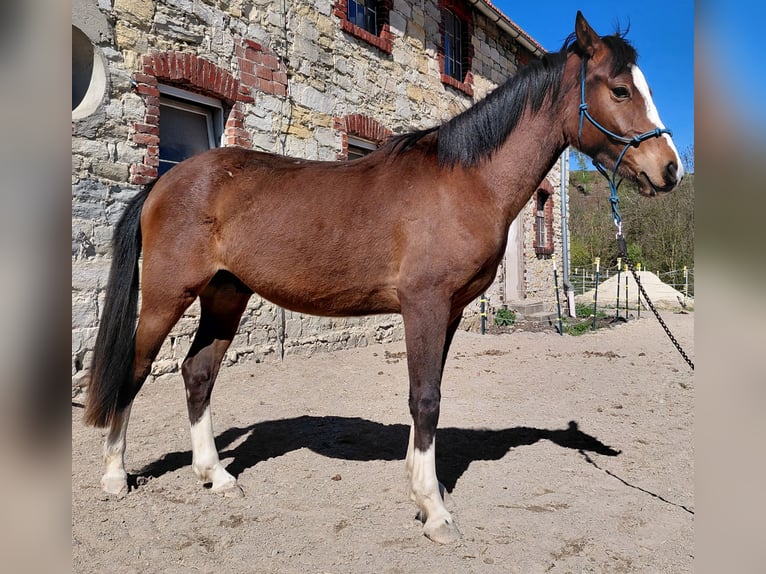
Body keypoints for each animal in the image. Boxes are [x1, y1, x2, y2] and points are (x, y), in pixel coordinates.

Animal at [84, 12, 683, 543]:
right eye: (621, 90)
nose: (670, 169)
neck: (465, 181)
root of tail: (164, 183)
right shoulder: (425, 304)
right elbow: (425, 398)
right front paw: (434, 511)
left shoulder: (451, 312)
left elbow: (430, 396)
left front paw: (424, 489)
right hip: (167, 296)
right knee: (135, 369)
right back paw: (114, 476)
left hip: (226, 295)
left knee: (198, 373)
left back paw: (216, 476)